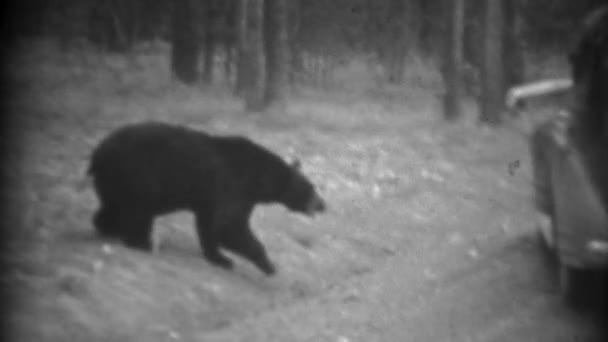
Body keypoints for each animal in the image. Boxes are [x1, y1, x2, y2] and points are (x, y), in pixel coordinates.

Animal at [88, 121, 326, 274]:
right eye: (311, 188)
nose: (323, 204)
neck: (257, 178)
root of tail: (98, 153)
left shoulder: (215, 198)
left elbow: (210, 226)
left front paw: (220, 258)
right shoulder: (232, 187)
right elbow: (228, 226)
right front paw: (267, 264)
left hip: (117, 182)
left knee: (113, 207)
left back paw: (109, 228)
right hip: (140, 177)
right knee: (138, 212)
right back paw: (142, 243)